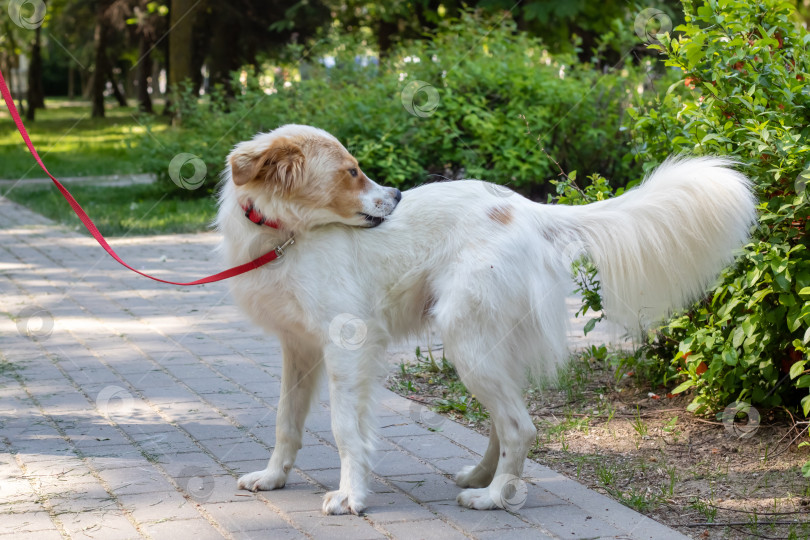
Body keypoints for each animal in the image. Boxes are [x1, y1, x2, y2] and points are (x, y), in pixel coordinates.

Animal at [216, 123, 756, 516]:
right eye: (350, 172)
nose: (396, 195)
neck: (286, 236)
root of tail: (527, 209)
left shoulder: (347, 346)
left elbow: (346, 430)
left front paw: (351, 496)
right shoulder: (298, 348)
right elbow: (286, 421)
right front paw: (273, 477)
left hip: (467, 343)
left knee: (521, 427)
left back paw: (494, 497)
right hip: (484, 346)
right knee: (505, 420)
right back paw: (484, 477)